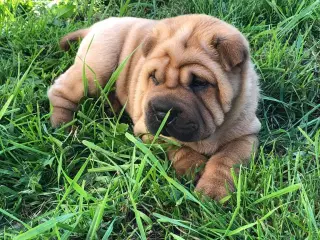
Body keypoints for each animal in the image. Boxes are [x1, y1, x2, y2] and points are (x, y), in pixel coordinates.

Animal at [48, 14, 262, 200]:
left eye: (199, 83)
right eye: (153, 78)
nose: (162, 111)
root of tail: (98, 25)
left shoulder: (245, 135)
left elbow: (225, 160)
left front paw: (214, 190)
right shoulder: (147, 129)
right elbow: (176, 146)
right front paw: (194, 166)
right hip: (96, 68)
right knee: (60, 91)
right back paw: (64, 126)